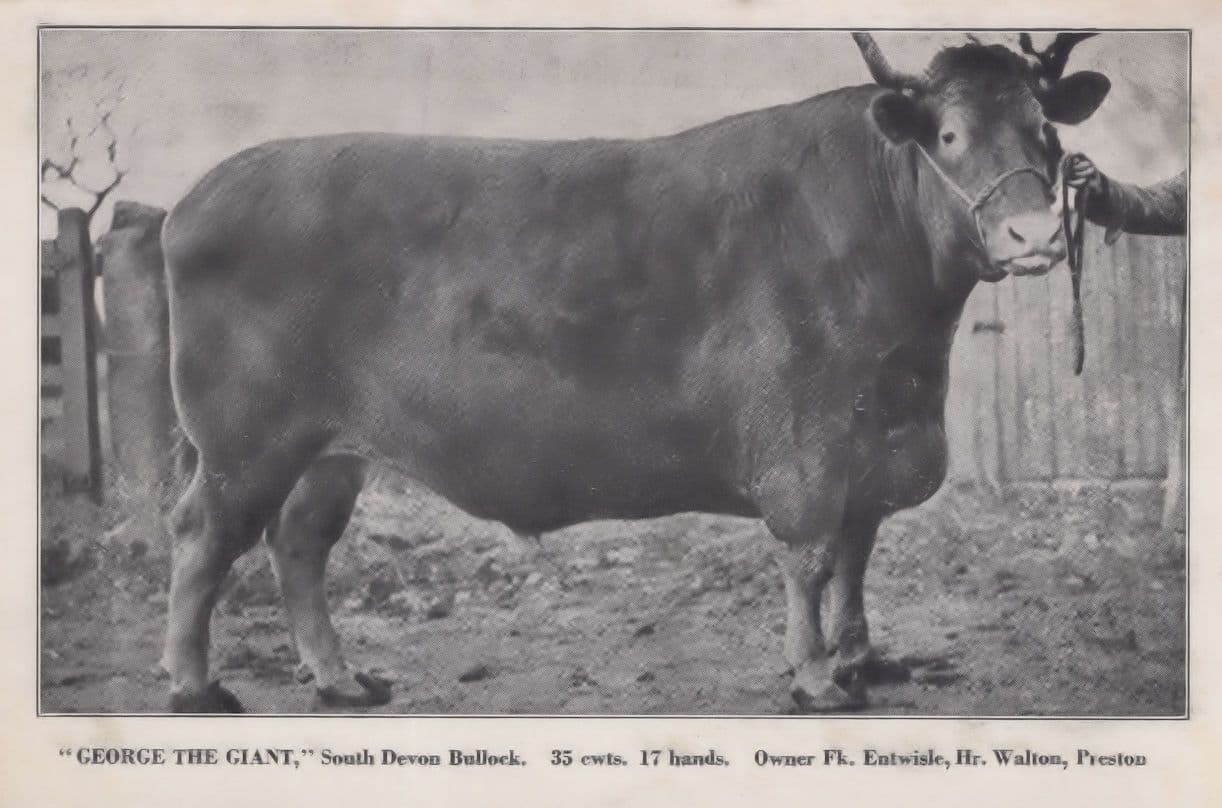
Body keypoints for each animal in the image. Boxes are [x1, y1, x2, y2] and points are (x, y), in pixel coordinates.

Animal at [158, 33, 1109, 713]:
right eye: (949, 135)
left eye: (1046, 132)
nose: (1033, 235)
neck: (911, 360)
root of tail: (199, 194)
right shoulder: (804, 445)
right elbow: (809, 556)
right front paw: (812, 678)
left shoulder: (871, 452)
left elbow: (856, 551)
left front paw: (859, 660)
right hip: (243, 441)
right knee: (204, 538)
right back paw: (195, 686)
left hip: (330, 447)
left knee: (298, 543)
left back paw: (340, 679)